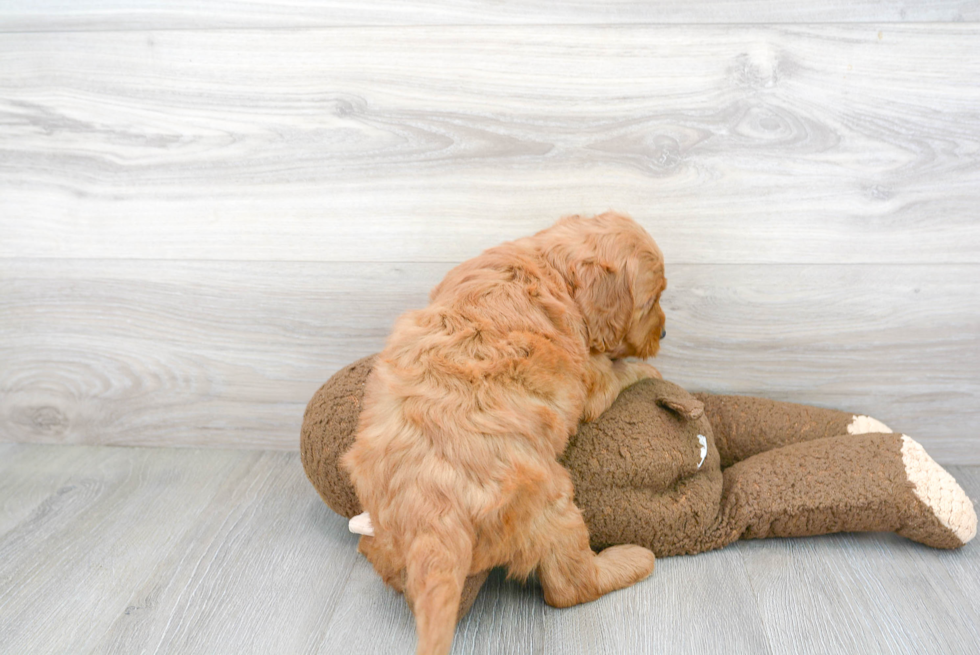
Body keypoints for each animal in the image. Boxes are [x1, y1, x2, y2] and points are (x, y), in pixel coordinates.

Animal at [340, 213, 668, 652]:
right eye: (650, 302)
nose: (663, 334)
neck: (549, 263)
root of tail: (431, 518)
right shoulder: (592, 378)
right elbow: (619, 372)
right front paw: (649, 370)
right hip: (552, 501)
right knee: (570, 586)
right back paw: (631, 559)